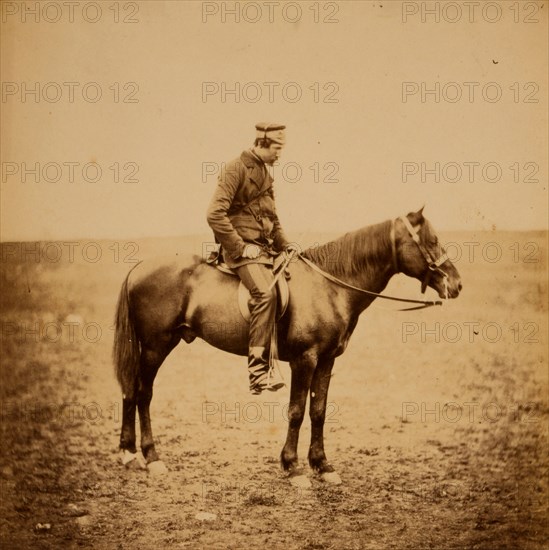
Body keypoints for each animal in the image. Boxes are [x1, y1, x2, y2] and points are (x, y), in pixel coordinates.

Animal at [113, 210, 460, 488]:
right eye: (431, 240)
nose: (456, 284)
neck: (330, 287)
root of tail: (138, 267)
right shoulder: (303, 360)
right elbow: (296, 411)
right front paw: (293, 467)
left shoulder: (326, 360)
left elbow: (318, 411)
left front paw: (322, 465)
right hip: (157, 346)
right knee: (142, 393)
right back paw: (151, 456)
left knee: (130, 391)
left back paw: (129, 453)